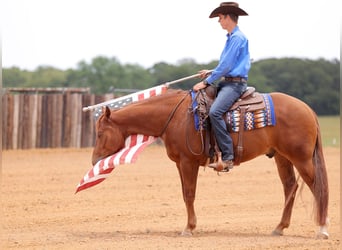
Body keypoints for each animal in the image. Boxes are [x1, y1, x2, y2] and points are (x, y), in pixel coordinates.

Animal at [91, 88, 328, 238]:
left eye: (100, 133)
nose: (94, 160)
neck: (176, 116)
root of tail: (308, 109)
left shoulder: (188, 162)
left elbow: (189, 194)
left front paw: (189, 228)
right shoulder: (180, 164)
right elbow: (185, 194)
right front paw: (190, 225)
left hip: (301, 159)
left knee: (318, 187)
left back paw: (322, 229)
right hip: (282, 157)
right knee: (290, 187)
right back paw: (279, 228)